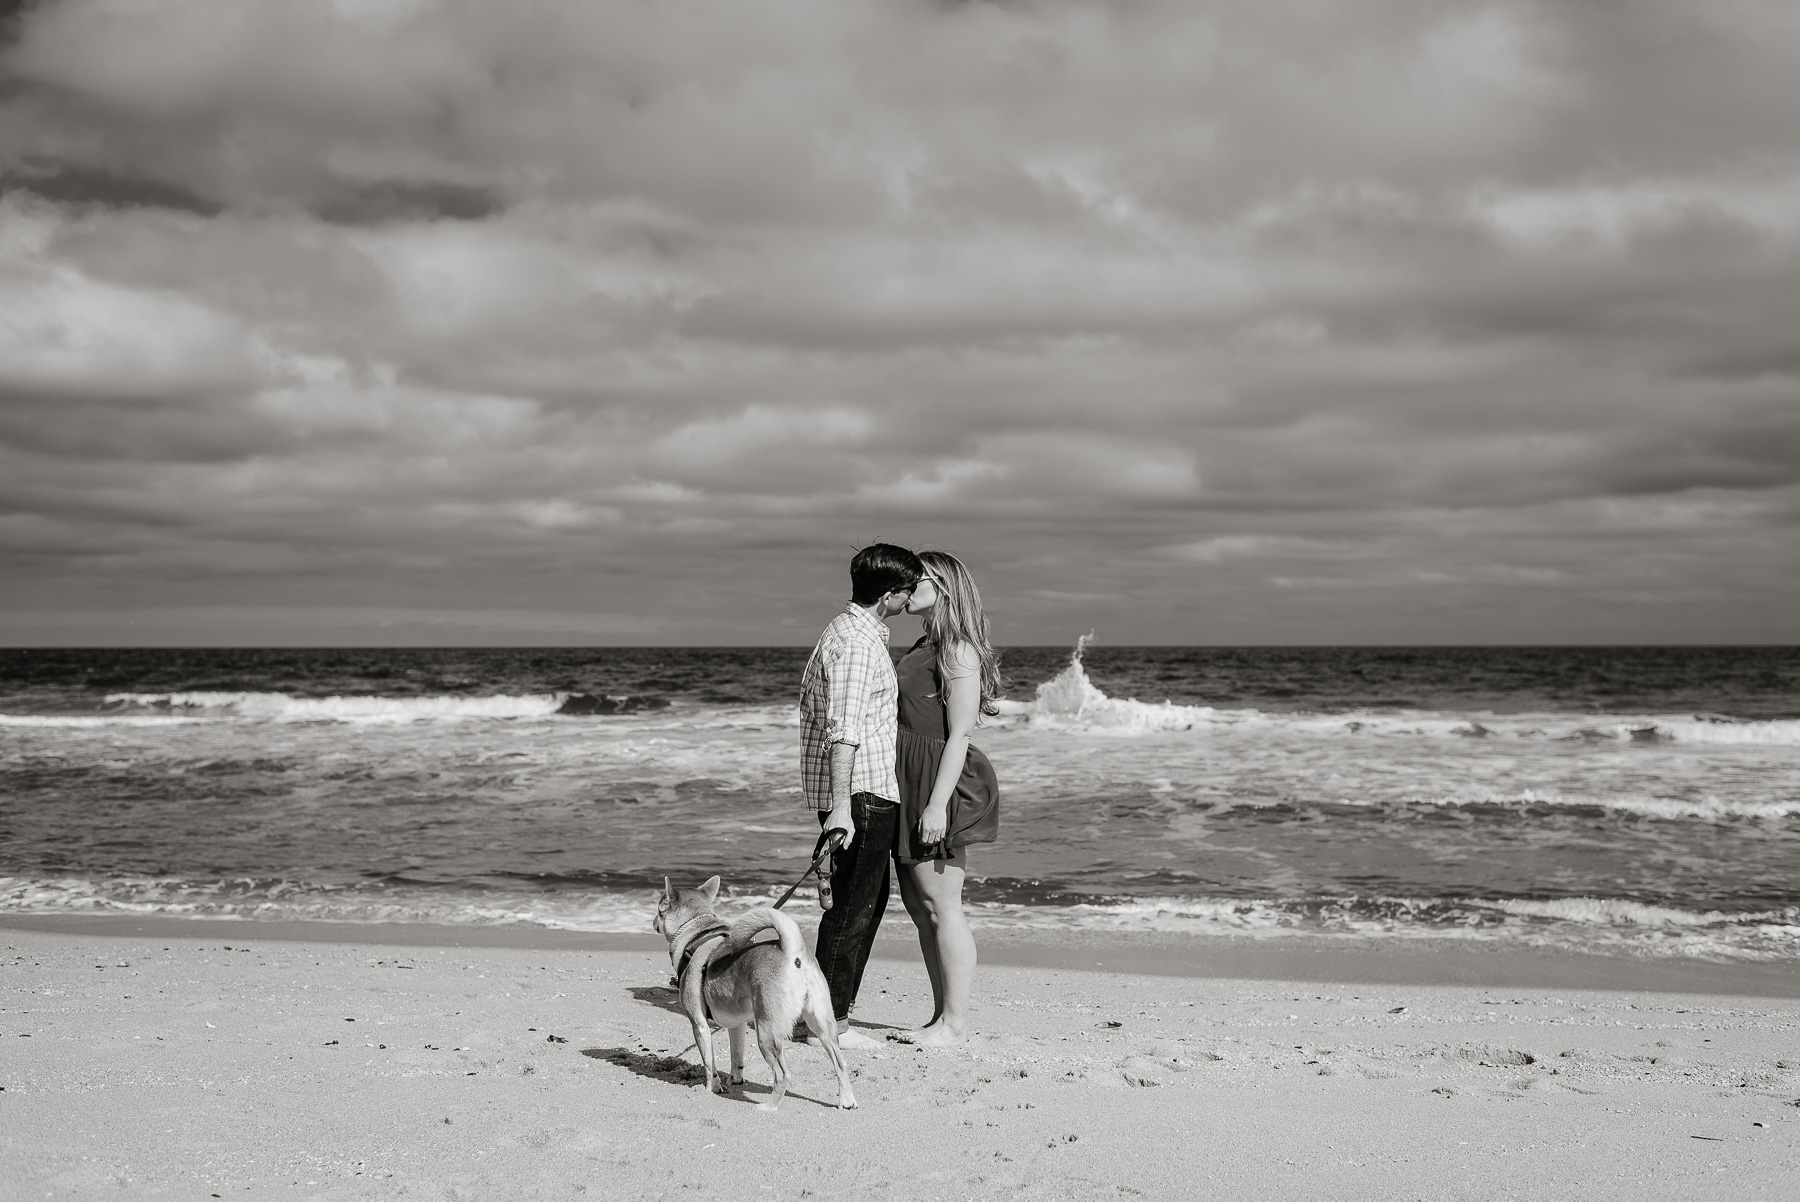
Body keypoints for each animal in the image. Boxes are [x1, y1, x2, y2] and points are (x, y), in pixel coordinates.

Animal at [655, 874, 856, 1108]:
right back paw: (847, 1101)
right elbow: (736, 1056)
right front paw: (735, 1080)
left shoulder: (699, 1025)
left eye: (659, 908)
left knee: (782, 1074)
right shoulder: (737, 1024)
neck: (697, 934)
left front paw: (711, 1090)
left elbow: (709, 1064)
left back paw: (769, 1107)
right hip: (822, 1025)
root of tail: (791, 952)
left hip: (766, 1031)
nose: (653, 922)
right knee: (840, 1063)